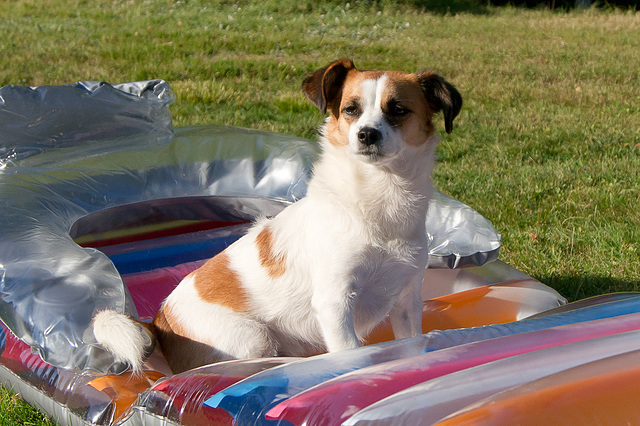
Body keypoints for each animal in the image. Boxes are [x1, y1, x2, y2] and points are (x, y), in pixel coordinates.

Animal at [92, 59, 460, 372]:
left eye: (397, 109)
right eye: (350, 110)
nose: (366, 134)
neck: (378, 196)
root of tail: (158, 321)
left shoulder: (407, 302)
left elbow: (410, 343)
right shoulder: (335, 302)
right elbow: (351, 353)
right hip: (252, 338)